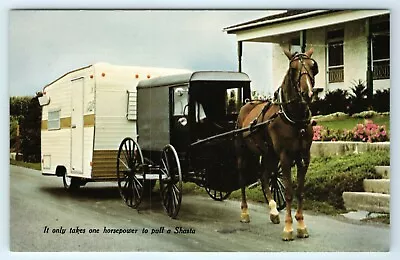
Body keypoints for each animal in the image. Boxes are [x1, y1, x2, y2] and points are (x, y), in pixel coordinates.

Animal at [234, 47, 318, 241]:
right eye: (293, 68)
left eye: (313, 66)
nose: (307, 94)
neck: (295, 119)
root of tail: (247, 104)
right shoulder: (285, 157)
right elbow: (288, 193)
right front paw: (288, 228)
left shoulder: (304, 158)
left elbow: (300, 191)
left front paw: (301, 225)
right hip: (243, 151)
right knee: (242, 178)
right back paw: (244, 212)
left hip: (269, 153)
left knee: (264, 175)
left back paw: (273, 210)